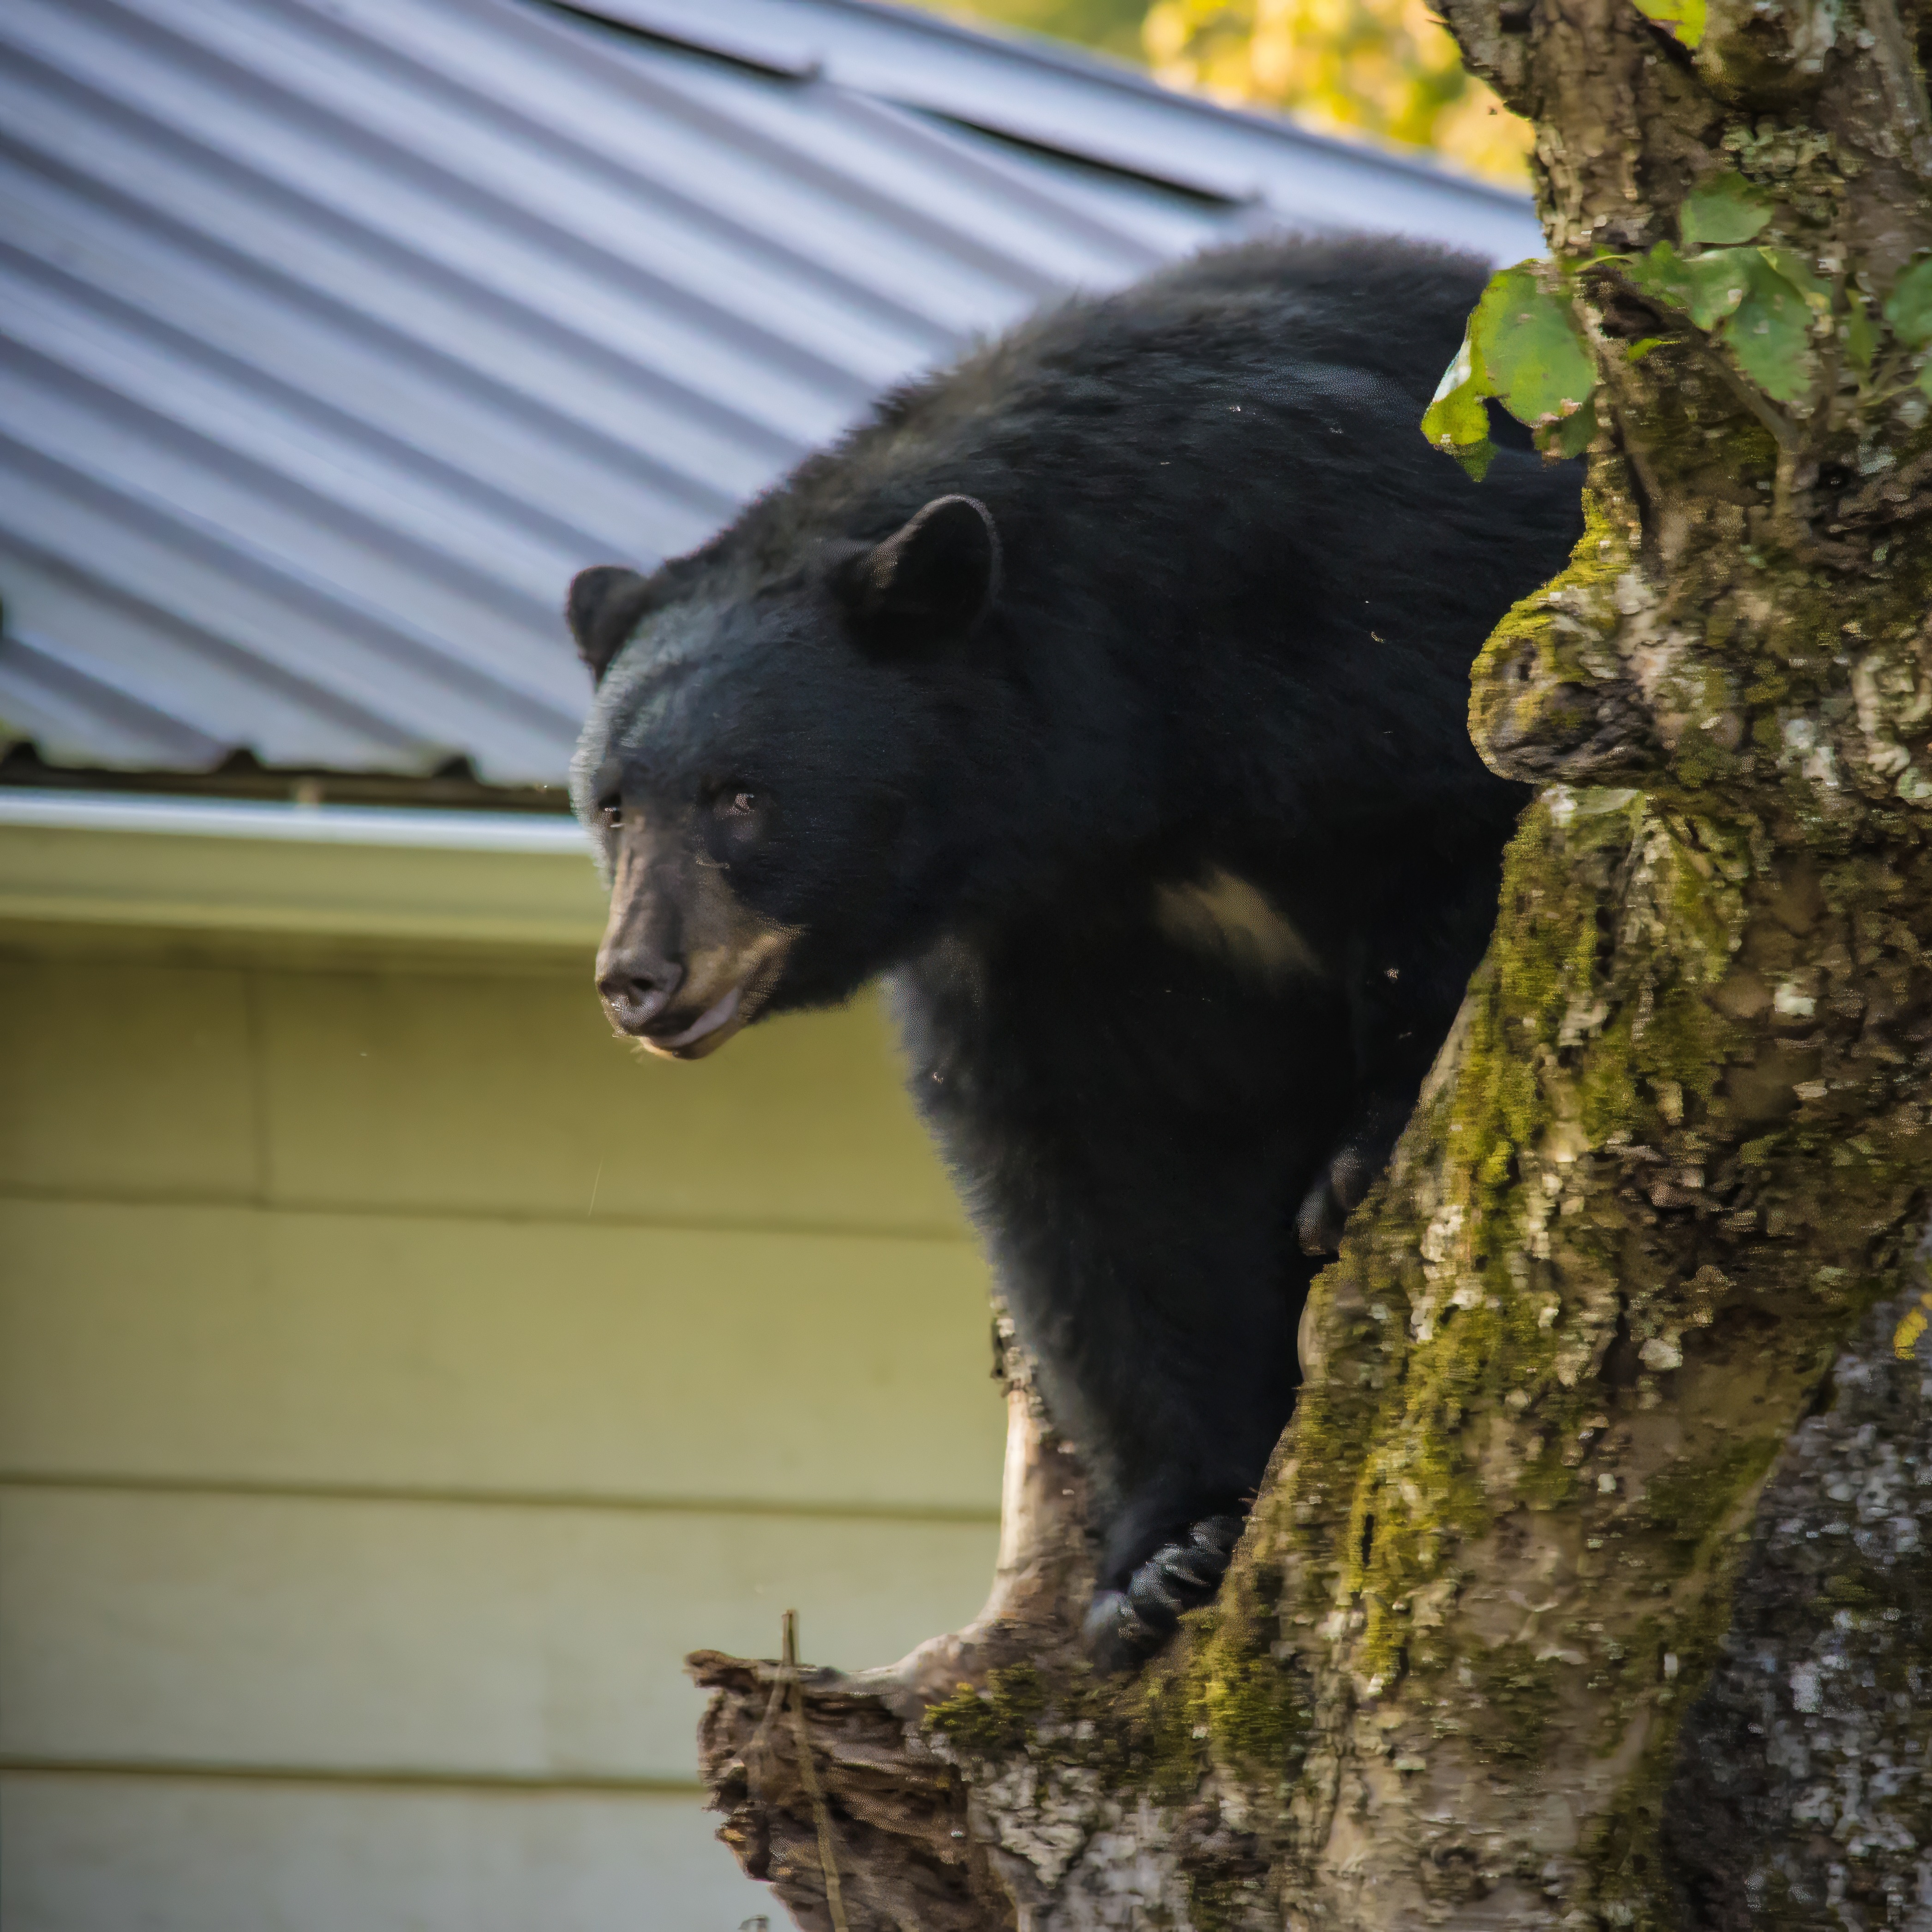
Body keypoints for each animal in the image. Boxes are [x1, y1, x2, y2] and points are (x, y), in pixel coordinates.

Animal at [566, 236, 1584, 1671]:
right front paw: (1166, 1555)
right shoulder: (1039, 933)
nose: (638, 978)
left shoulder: (1363, 582)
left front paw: (1365, 1153)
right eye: (612, 805)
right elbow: (1096, 1180)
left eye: (741, 795)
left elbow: (1467, 823)